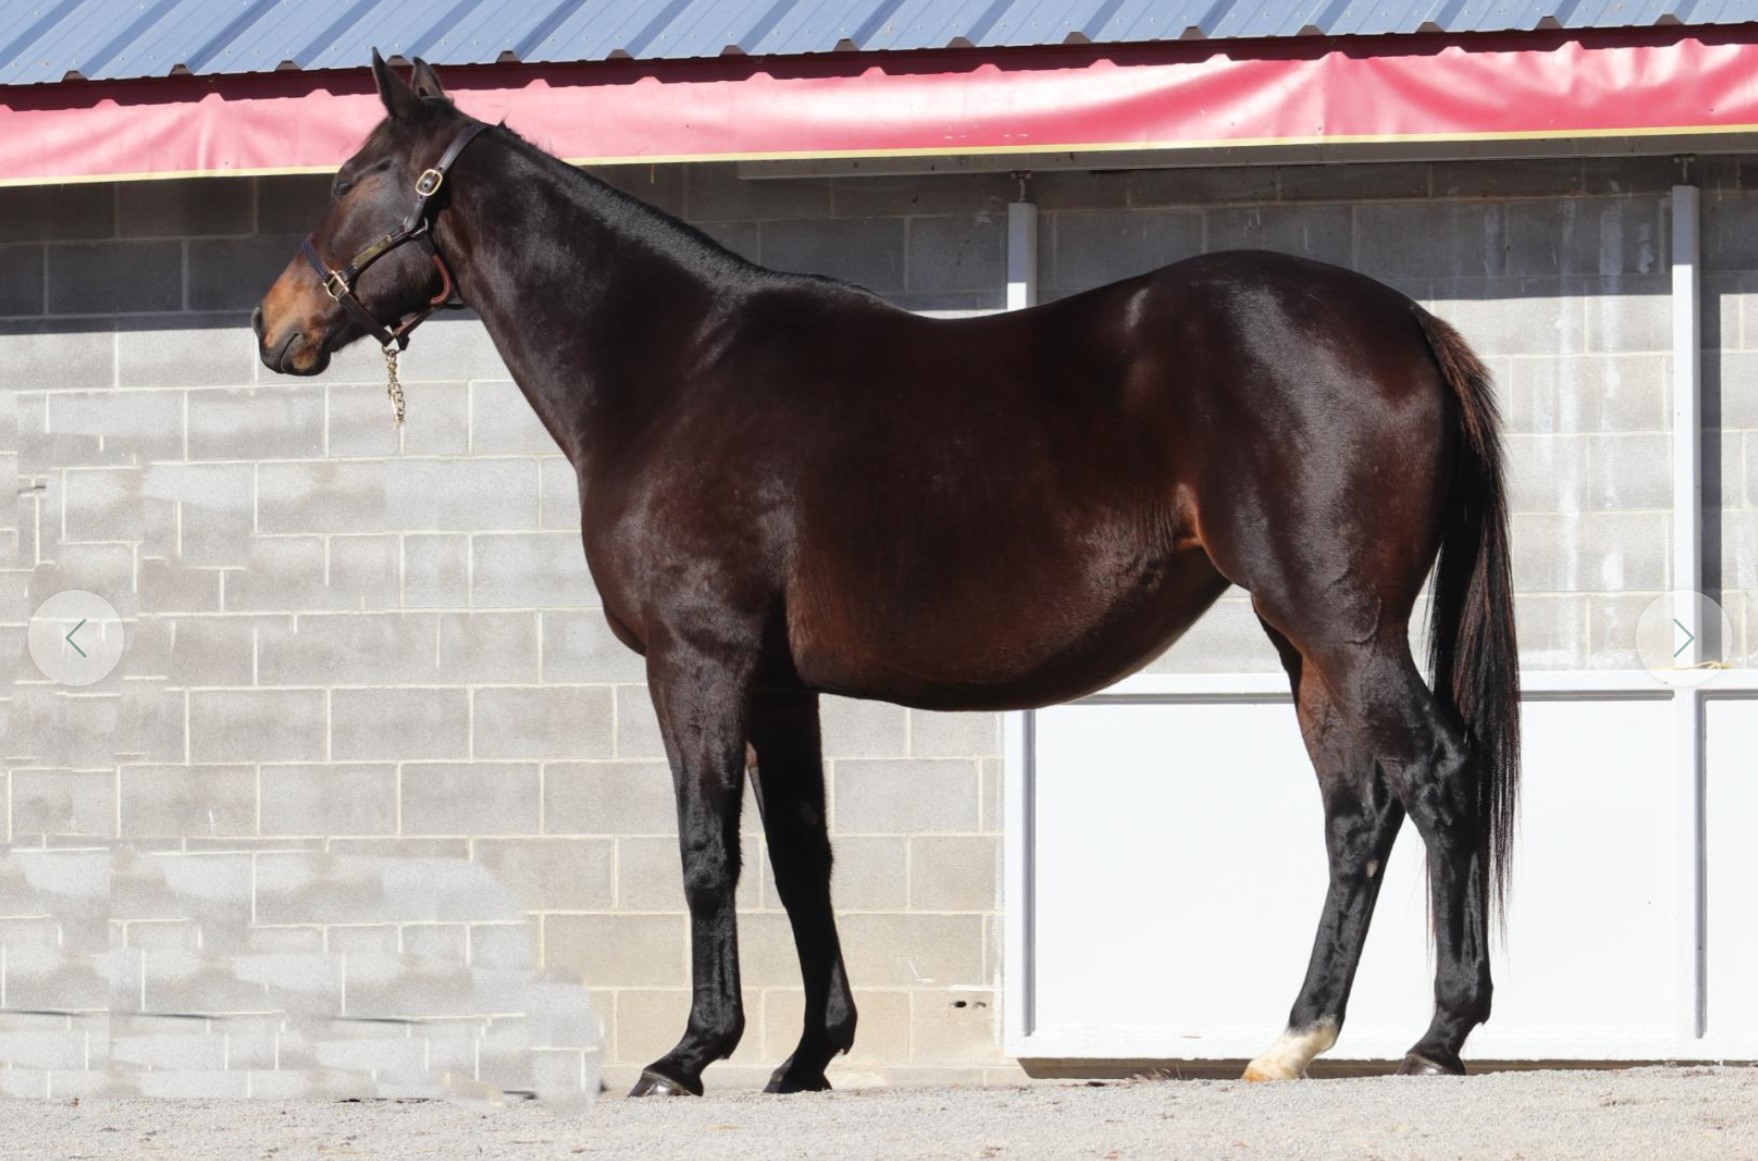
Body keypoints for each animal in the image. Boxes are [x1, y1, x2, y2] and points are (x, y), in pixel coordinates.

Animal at [255, 53, 1519, 1097]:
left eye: (353, 176)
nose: (275, 326)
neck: (675, 368)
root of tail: (1403, 322)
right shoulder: (778, 684)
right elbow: (799, 858)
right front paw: (809, 1056)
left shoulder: (697, 662)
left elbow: (708, 852)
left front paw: (690, 1053)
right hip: (1305, 638)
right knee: (1356, 811)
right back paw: (1293, 1039)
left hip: (1339, 625)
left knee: (1439, 771)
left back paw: (1438, 1036)